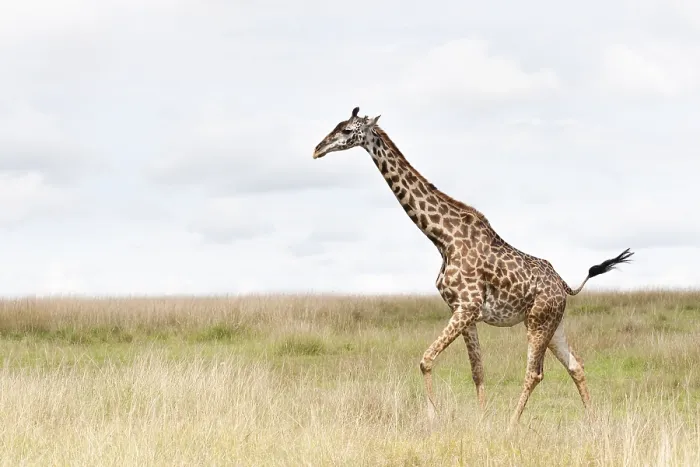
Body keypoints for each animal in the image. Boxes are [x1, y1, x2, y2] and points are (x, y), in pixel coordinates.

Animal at [311, 106, 634, 427]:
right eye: (337, 125)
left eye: (348, 130)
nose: (317, 149)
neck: (443, 238)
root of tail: (564, 285)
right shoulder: (463, 311)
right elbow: (477, 370)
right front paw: (481, 420)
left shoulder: (467, 307)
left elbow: (426, 359)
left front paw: (434, 418)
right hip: (553, 323)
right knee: (576, 366)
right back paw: (592, 422)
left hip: (538, 322)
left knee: (535, 372)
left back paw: (511, 425)